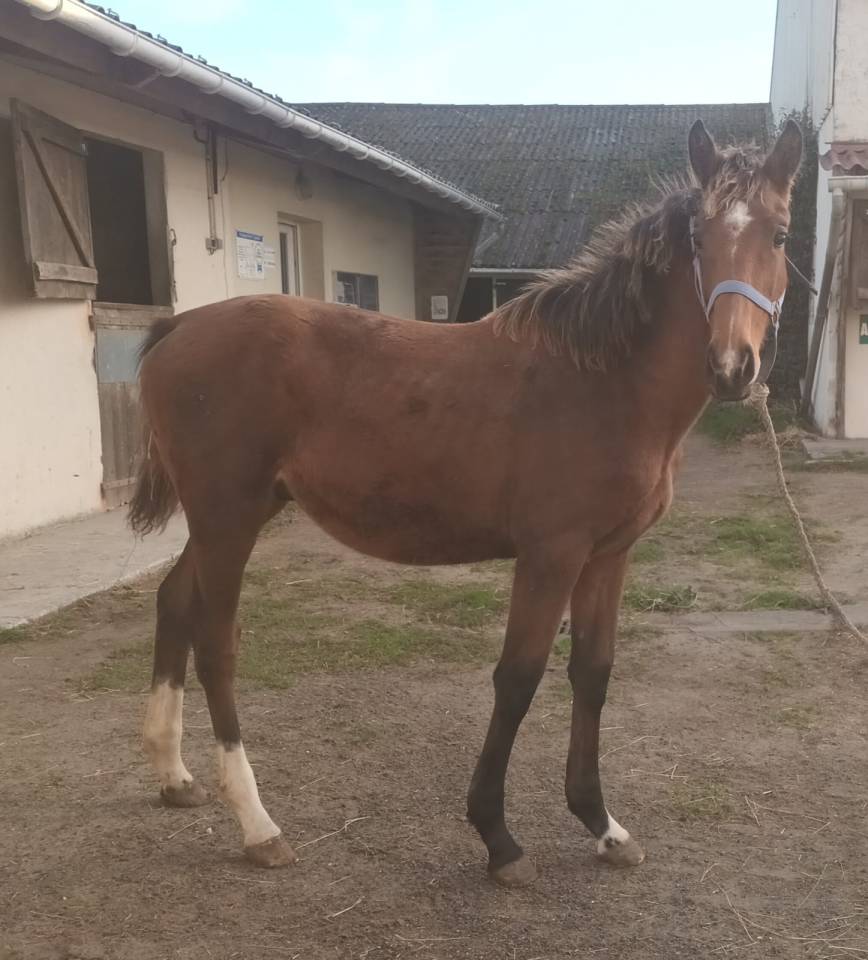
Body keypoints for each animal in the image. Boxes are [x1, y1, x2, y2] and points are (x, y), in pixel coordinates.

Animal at [130, 119, 802, 886]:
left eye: (780, 235)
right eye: (698, 238)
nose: (732, 366)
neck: (604, 382)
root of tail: (180, 328)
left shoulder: (609, 556)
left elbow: (592, 673)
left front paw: (602, 825)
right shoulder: (550, 555)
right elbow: (518, 679)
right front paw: (498, 837)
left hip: (229, 517)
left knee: (174, 603)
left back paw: (174, 775)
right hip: (228, 518)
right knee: (216, 643)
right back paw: (257, 824)